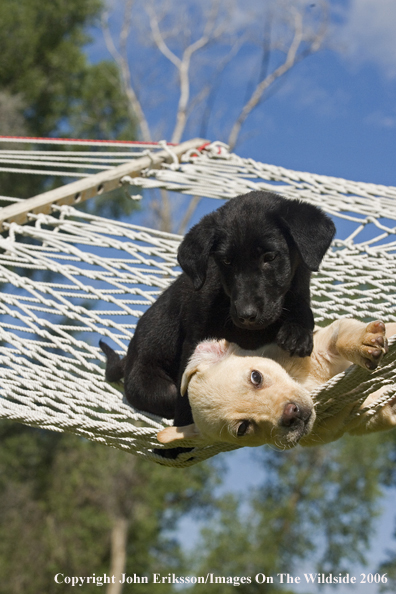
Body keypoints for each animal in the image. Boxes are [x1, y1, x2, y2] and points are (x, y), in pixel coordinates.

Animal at [99, 192, 334, 428]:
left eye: (270, 257)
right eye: (227, 261)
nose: (246, 315)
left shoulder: (299, 289)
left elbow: (303, 309)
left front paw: (297, 334)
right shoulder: (195, 340)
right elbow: (187, 390)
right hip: (151, 384)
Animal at [156, 320, 394, 448]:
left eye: (256, 377)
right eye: (243, 428)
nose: (291, 414)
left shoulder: (323, 342)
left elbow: (343, 335)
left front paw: (364, 342)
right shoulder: (357, 420)